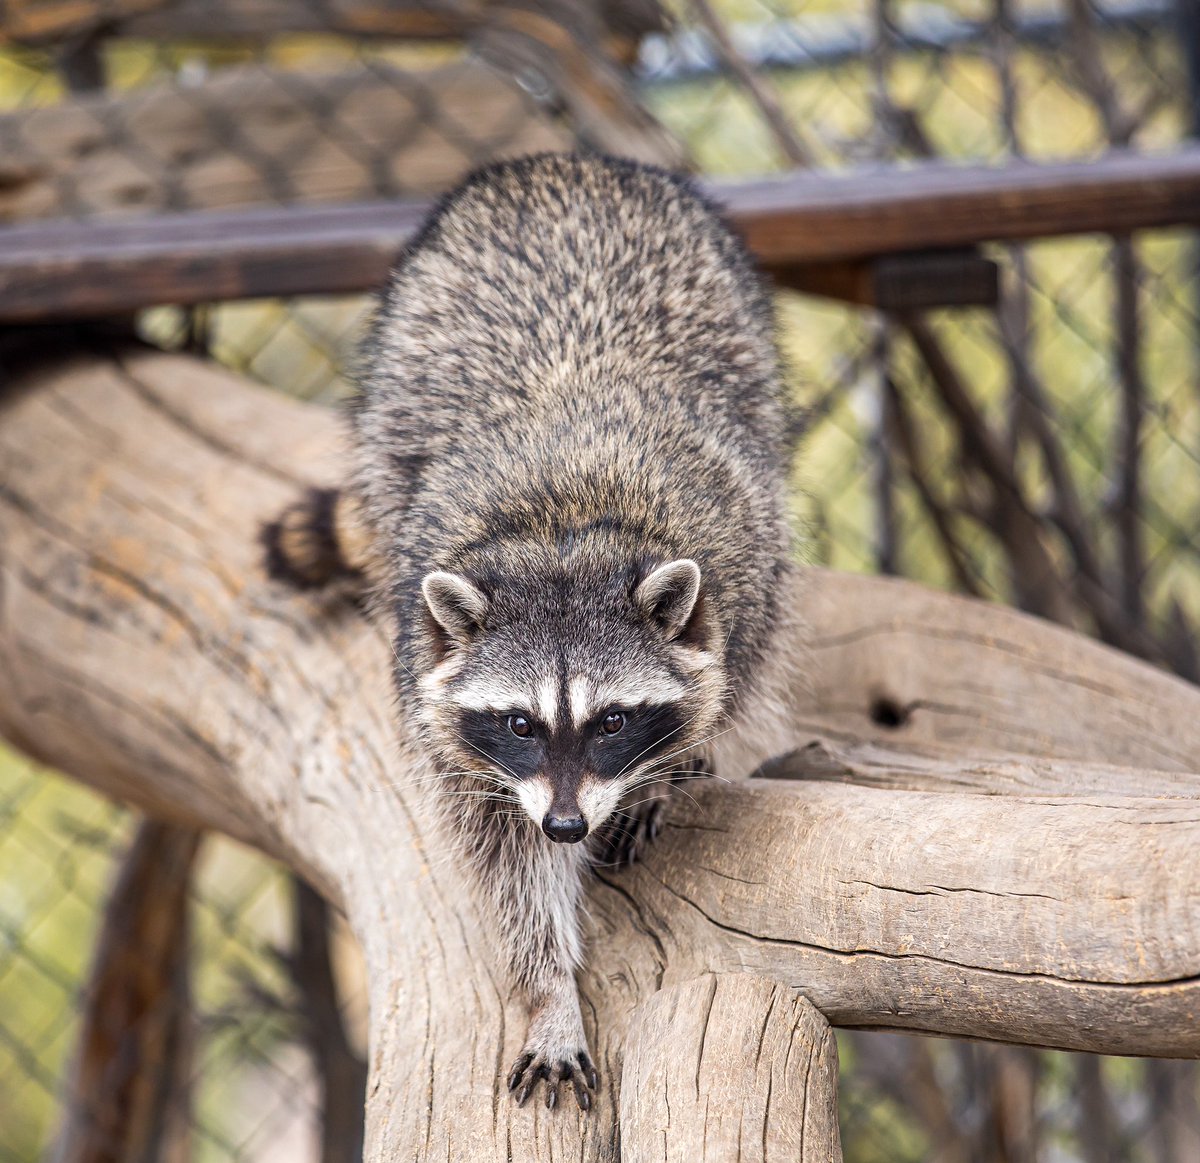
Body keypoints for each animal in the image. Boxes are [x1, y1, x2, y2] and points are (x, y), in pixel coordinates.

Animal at [264, 153, 793, 1111]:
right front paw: (546, 991)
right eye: (519, 722)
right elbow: (502, 856)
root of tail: (563, 162)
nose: (568, 826)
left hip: (741, 332)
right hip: (400, 365)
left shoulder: (748, 556)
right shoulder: (438, 688)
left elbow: (734, 675)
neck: (564, 533)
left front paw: (671, 765)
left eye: (614, 719)